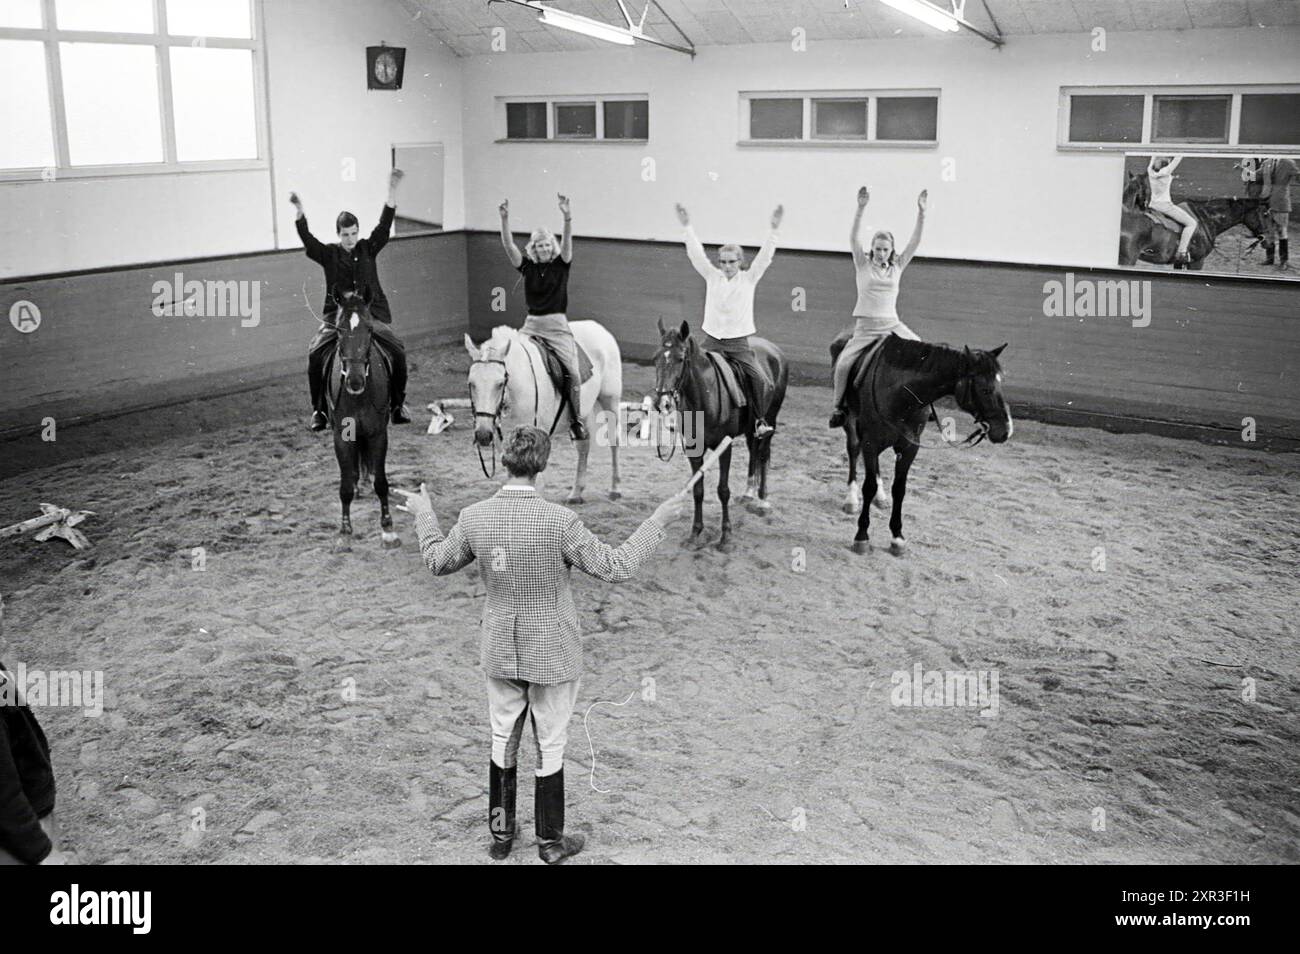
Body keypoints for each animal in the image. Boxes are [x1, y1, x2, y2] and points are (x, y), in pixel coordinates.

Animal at [325, 285, 395, 553]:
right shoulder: (341, 437)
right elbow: (344, 485)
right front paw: (345, 531)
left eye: (370, 329)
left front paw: (388, 528)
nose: (355, 381)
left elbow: (382, 482)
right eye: (338, 330)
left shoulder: (377, 434)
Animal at [465, 323, 626, 504]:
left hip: (610, 401)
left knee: (614, 441)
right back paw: (576, 493)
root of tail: (598, 328)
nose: (483, 435)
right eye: (471, 383)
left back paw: (615, 489)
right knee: (583, 446)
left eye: (500, 384)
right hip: (582, 414)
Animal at [655, 319, 785, 553]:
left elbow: (723, 490)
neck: (705, 396)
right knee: (753, 452)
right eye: (656, 358)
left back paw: (762, 501)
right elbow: (698, 490)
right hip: (751, 430)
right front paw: (695, 533)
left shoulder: (725, 447)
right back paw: (749, 493)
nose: (663, 402)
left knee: (763, 455)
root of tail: (774, 351)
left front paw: (726, 537)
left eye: (680, 359)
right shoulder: (694, 449)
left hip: (770, 420)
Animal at [832, 335, 1013, 561]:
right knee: (853, 452)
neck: (901, 394)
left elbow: (899, 489)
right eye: (985, 389)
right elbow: (868, 486)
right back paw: (851, 499)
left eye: (1000, 384)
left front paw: (897, 538)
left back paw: (880, 498)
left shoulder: (909, 447)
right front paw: (862, 536)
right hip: (853, 427)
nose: (1005, 430)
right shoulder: (870, 442)